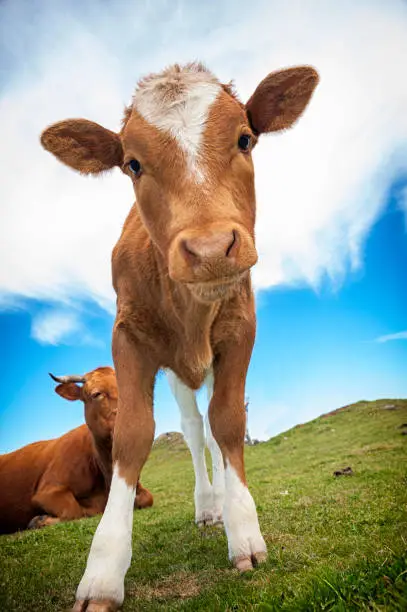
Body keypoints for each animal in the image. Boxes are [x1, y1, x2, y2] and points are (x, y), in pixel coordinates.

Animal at [41, 59, 320, 608]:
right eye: (132, 164)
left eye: (245, 139)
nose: (211, 249)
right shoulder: (128, 338)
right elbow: (134, 434)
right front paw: (103, 573)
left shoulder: (241, 331)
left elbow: (229, 423)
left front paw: (244, 533)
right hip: (175, 372)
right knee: (193, 430)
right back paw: (207, 505)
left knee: (210, 428)